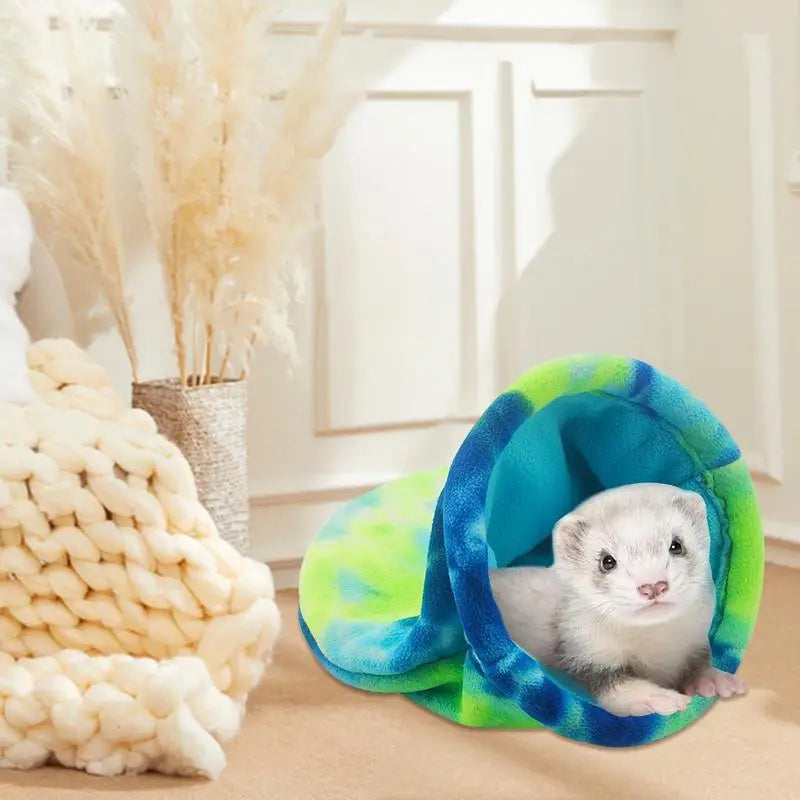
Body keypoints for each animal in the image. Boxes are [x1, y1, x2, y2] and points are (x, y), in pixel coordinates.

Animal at [489, 483, 746, 717]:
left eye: (676, 545)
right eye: (607, 561)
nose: (653, 585)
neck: (658, 648)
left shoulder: (695, 641)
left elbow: (699, 665)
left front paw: (714, 679)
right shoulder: (585, 650)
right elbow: (612, 685)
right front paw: (657, 698)